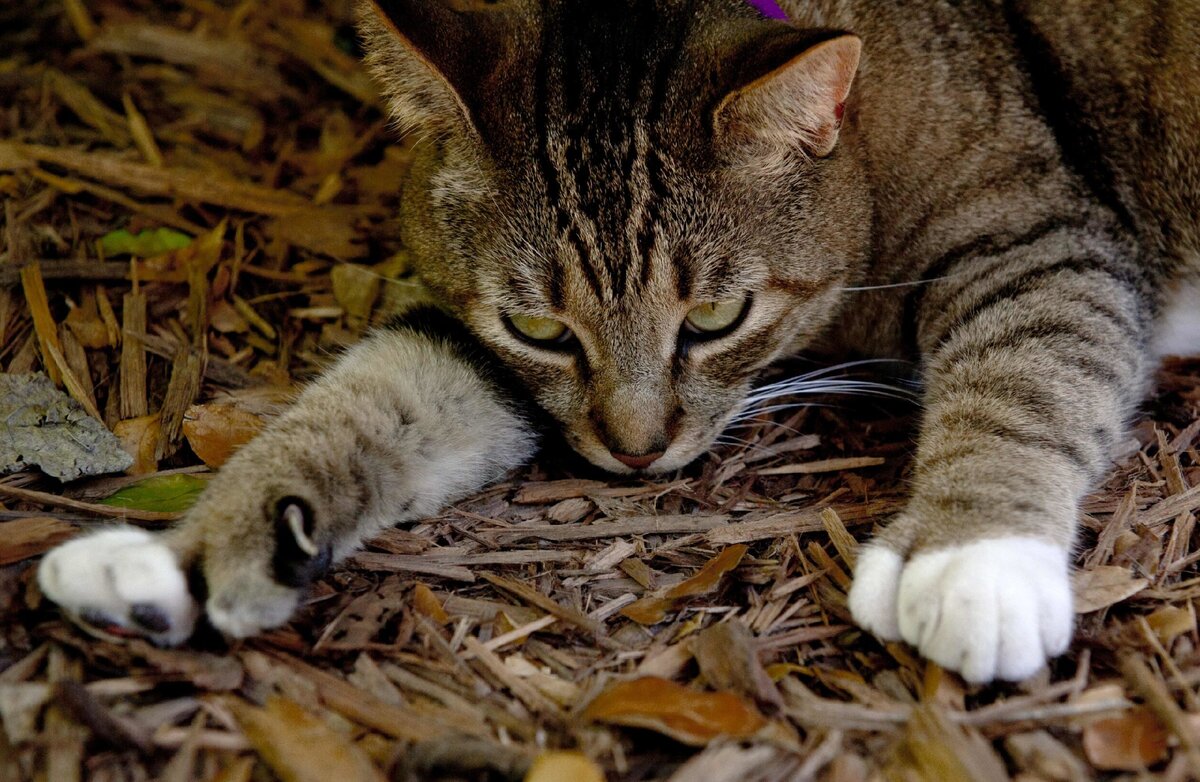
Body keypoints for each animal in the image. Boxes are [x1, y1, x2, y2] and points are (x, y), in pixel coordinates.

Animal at [32, 0, 1195, 686]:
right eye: (541, 328)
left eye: (716, 319)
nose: (636, 453)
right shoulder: (485, 349)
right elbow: (376, 395)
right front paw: (187, 551)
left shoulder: (1040, 236)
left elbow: (1027, 372)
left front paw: (974, 557)